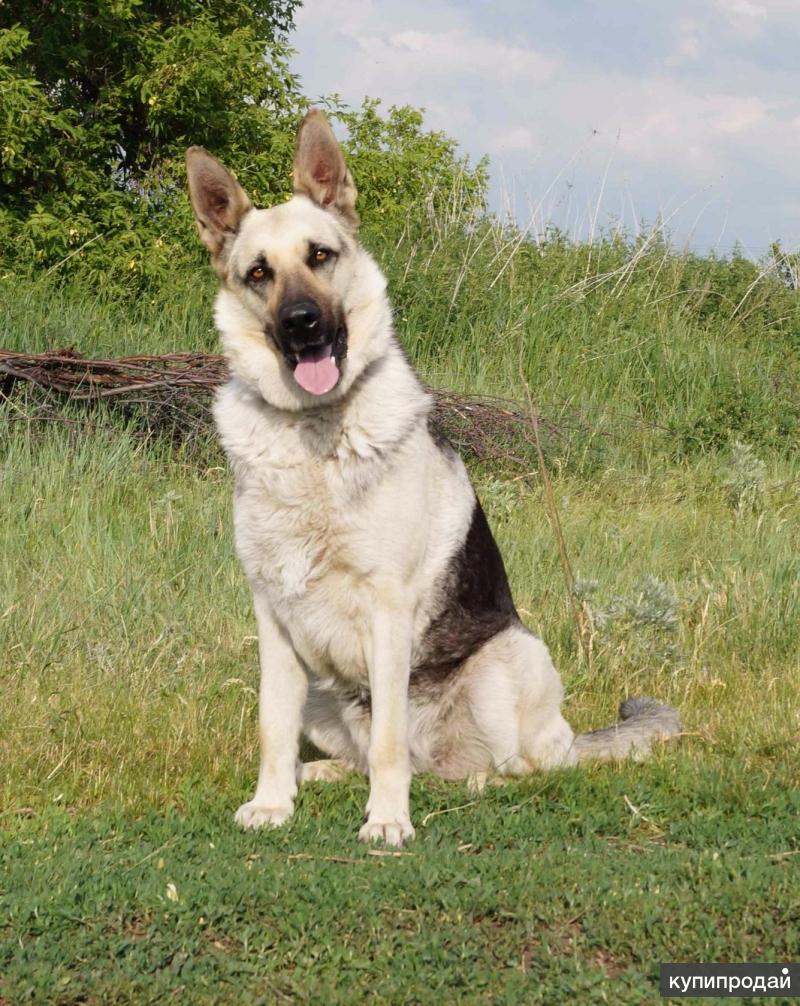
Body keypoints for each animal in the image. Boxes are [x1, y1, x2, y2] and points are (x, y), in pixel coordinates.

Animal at [189, 112, 680, 849]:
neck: (317, 436)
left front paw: (388, 820)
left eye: (321, 256)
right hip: (325, 693)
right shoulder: (273, 619)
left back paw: (464, 784)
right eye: (258, 273)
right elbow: (272, 728)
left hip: (508, 663)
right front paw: (273, 804)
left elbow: (390, 742)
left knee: (506, 768)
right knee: (372, 753)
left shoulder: (388, 612)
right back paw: (322, 775)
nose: (303, 326)